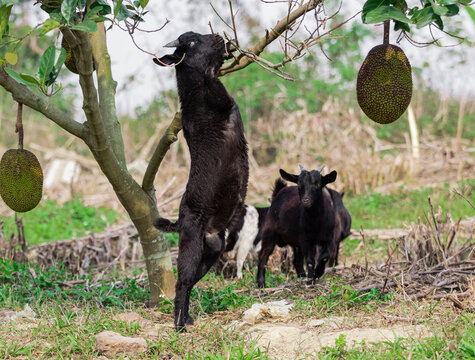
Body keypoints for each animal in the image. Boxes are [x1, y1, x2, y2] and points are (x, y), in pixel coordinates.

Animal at [153, 32, 251, 330]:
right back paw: (178, 324)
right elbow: (213, 80)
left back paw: (187, 318)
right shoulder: (217, 95)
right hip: (192, 248)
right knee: (181, 284)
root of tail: (179, 221)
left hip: (211, 254)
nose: (220, 36)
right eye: (192, 42)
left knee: (188, 285)